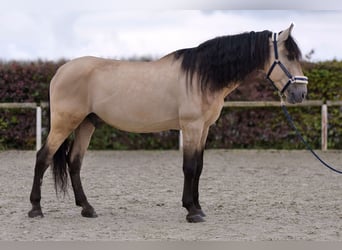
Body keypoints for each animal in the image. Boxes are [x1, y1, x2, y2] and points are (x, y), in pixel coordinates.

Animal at [28, 23, 308, 223]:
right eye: (288, 55)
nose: (300, 94)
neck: (202, 76)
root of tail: (60, 72)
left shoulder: (204, 128)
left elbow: (199, 167)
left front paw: (198, 207)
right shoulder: (192, 127)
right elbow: (189, 167)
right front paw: (192, 211)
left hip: (86, 124)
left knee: (74, 162)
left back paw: (87, 208)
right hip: (65, 123)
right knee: (43, 157)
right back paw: (35, 209)